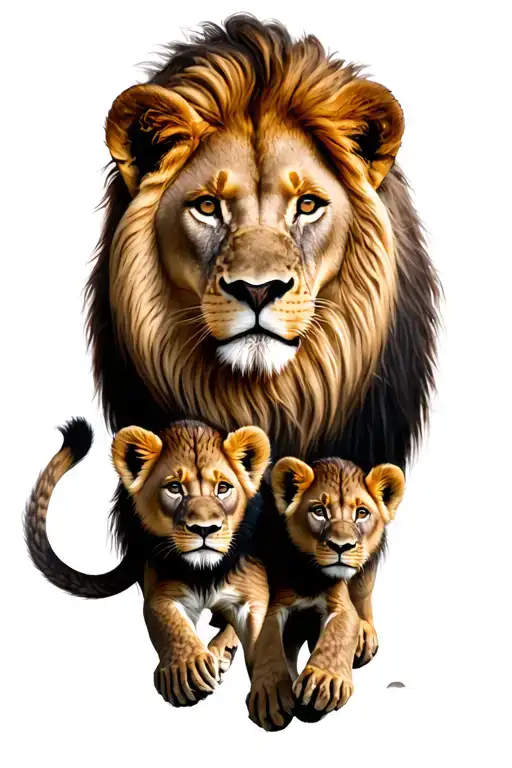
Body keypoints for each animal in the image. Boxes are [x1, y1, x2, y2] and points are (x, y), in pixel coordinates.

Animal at [247, 456, 405, 730]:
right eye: (319, 511)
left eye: (361, 513)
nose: (341, 546)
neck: (311, 577)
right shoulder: (276, 603)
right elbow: (268, 641)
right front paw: (270, 691)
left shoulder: (341, 604)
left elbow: (338, 633)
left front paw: (323, 680)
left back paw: (365, 635)